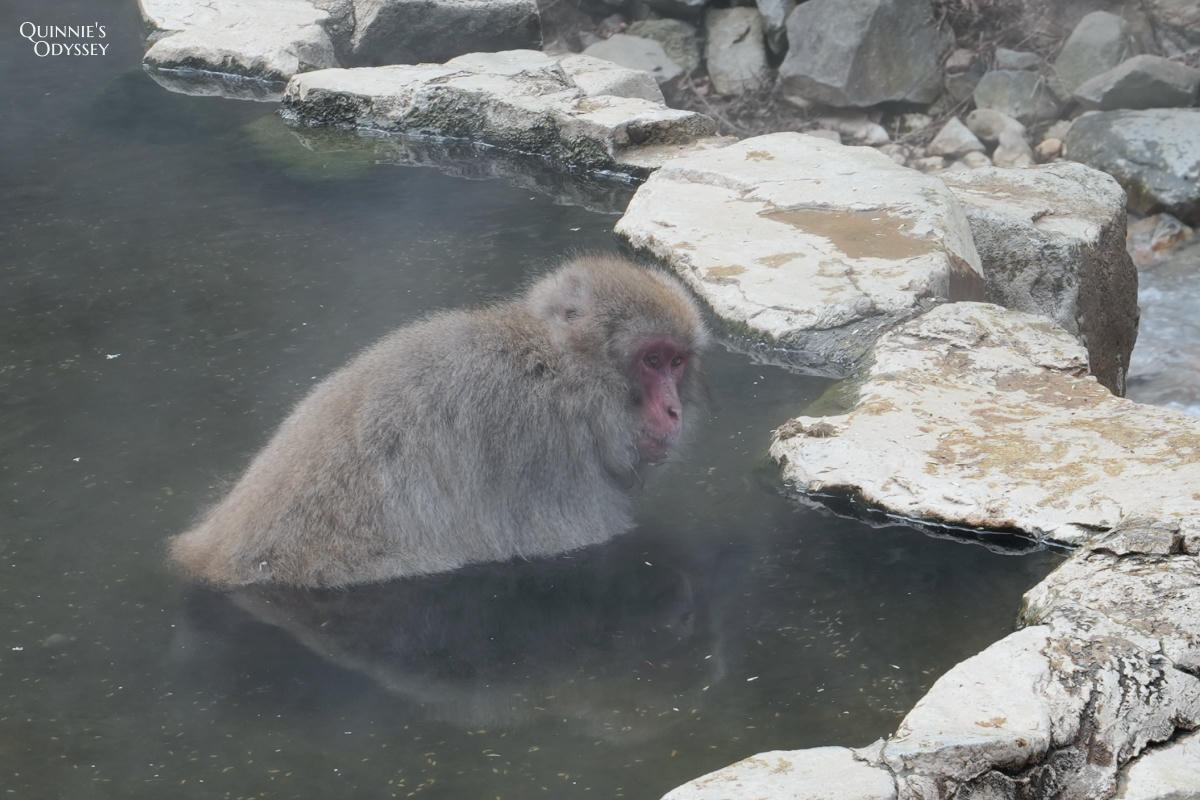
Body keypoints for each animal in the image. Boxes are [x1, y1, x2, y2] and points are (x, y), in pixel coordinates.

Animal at [169, 255, 708, 588]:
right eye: (652, 360)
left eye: (677, 362)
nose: (674, 410)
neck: (560, 367)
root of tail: (209, 554)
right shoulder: (549, 454)